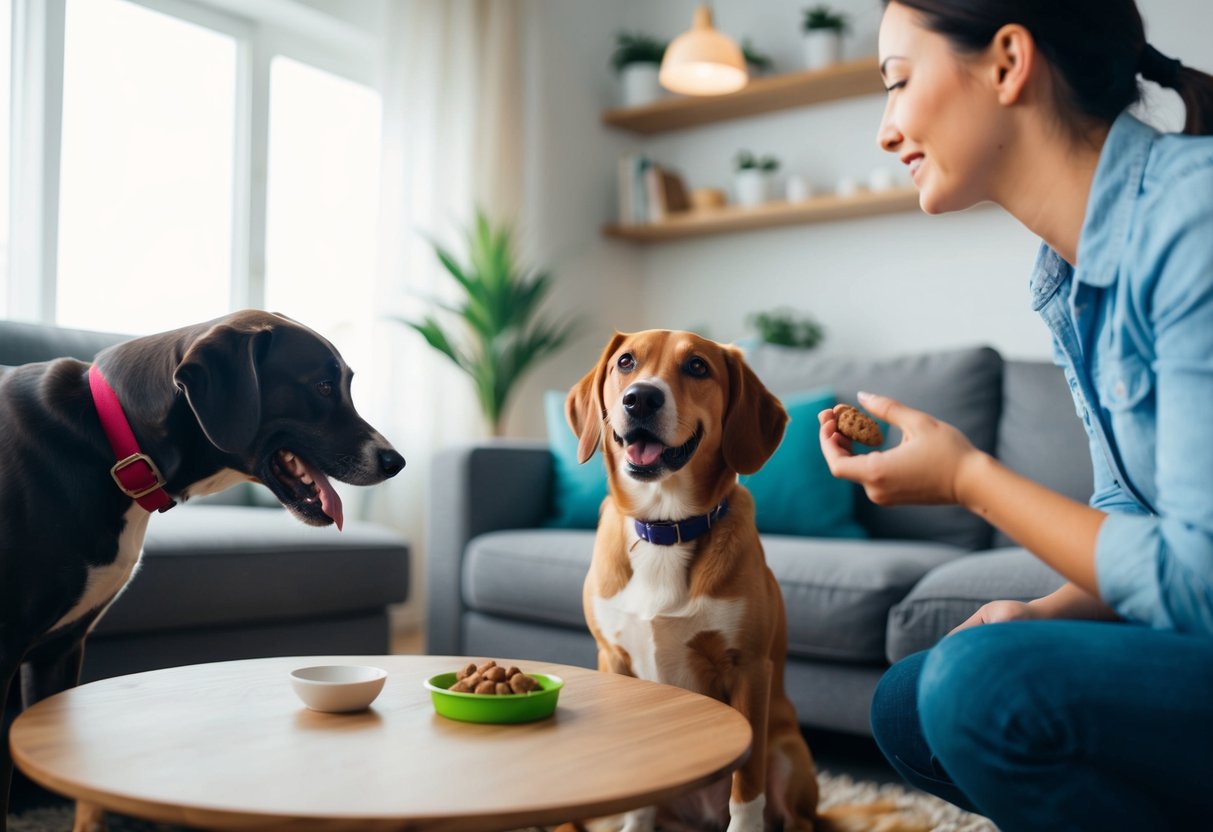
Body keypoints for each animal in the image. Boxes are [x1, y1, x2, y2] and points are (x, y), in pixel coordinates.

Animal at [562, 329, 921, 832]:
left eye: (697, 366)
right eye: (626, 362)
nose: (641, 398)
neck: (666, 526)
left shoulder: (749, 669)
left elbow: (746, 788)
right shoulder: (613, 660)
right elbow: (638, 794)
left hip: (789, 752)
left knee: (796, 817)